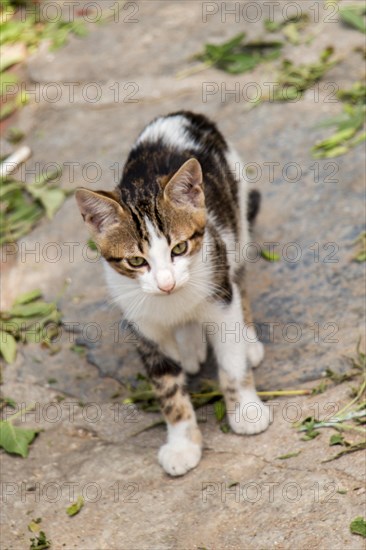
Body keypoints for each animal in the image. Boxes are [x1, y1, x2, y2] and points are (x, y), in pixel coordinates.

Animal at [76, 111, 272, 478]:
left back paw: (249, 341)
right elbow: (168, 390)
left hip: (235, 221)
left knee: (239, 278)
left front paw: (246, 411)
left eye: (179, 248)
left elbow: (232, 364)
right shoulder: (143, 328)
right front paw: (182, 444)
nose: (166, 284)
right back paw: (191, 345)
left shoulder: (219, 293)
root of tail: (178, 115)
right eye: (136, 261)